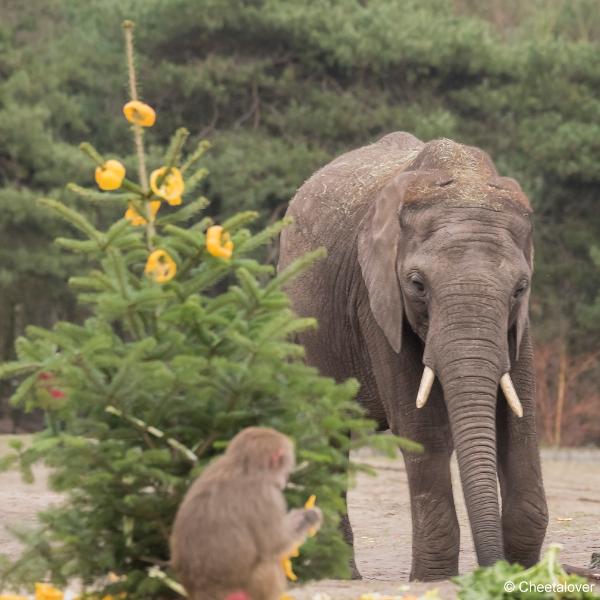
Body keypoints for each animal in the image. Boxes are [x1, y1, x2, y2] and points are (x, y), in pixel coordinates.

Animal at [169, 426, 324, 600]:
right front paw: (310, 516)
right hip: (247, 587)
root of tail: (203, 592)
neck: (244, 467)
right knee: (269, 564)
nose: (285, 479)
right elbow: (276, 543)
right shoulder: (267, 494)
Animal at [276, 132, 548, 580]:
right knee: (326, 431)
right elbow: (424, 430)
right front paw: (434, 578)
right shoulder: (375, 299)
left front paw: (523, 572)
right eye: (417, 285)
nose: (491, 568)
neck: (464, 178)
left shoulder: (518, 327)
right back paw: (339, 576)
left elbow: (520, 423)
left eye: (521, 288)